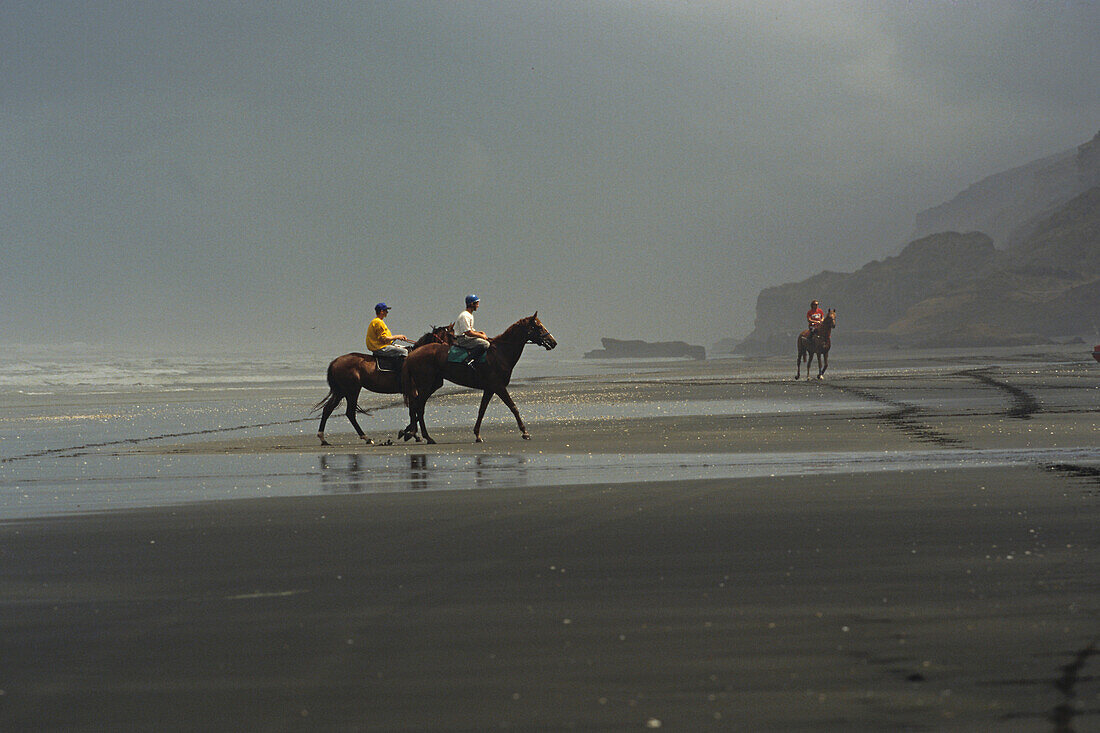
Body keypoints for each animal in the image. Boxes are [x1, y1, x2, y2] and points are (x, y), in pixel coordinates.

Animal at [314, 323, 455, 442]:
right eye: (452, 335)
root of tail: (335, 362)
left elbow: (414, 409)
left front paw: (409, 433)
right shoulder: (414, 391)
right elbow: (415, 409)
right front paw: (410, 433)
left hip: (342, 391)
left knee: (328, 409)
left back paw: (323, 439)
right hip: (352, 390)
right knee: (349, 413)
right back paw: (365, 437)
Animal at [402, 310, 558, 442]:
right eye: (539, 327)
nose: (553, 342)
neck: (500, 352)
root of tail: (412, 354)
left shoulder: (489, 389)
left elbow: (482, 410)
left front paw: (477, 434)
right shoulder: (498, 386)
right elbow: (513, 407)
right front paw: (525, 432)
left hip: (432, 385)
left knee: (417, 406)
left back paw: (415, 434)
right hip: (425, 385)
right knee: (418, 407)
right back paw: (425, 436)